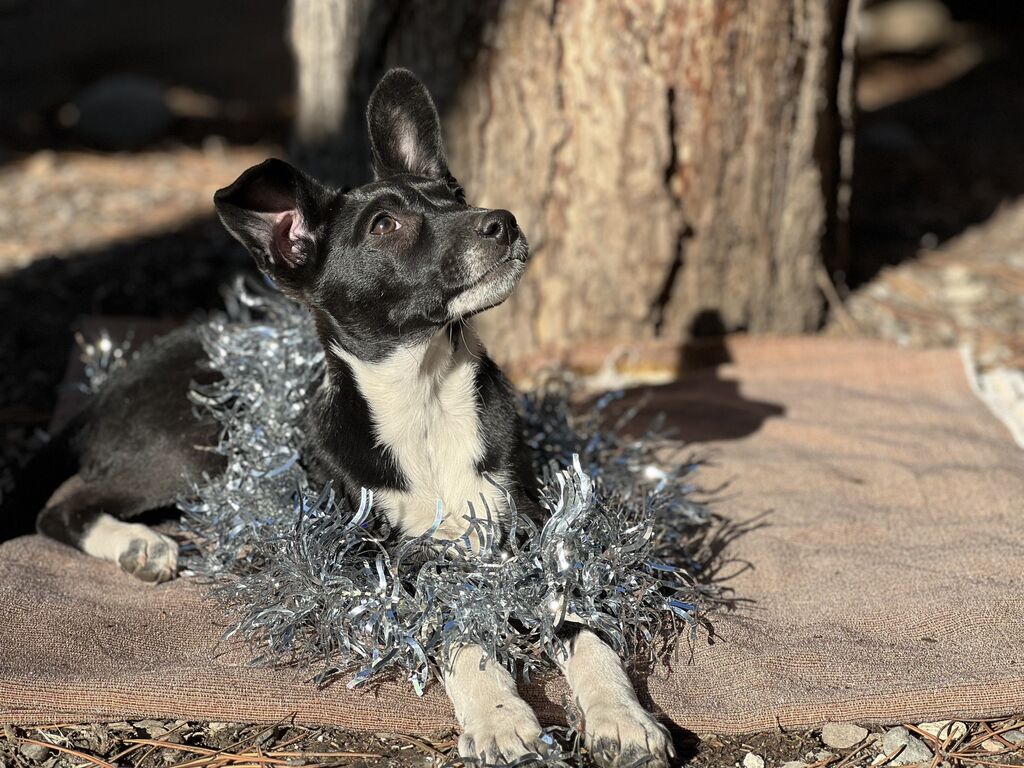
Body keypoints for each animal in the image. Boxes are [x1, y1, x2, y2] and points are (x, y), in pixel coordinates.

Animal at [14, 69, 679, 765]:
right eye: (385, 226)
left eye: (454, 194)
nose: (502, 221)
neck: (425, 398)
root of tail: (107, 385)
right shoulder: (377, 562)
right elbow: (454, 622)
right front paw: (499, 718)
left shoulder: (530, 528)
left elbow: (581, 620)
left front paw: (620, 715)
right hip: (188, 448)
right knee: (60, 508)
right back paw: (138, 545)